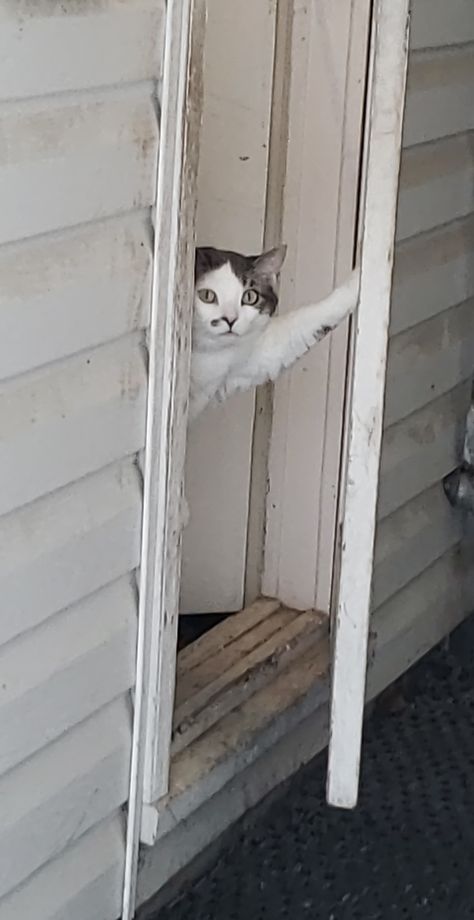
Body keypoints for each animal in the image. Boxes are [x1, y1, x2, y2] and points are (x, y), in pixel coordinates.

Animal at [181, 244, 360, 528]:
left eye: (250, 297)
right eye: (207, 296)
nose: (230, 319)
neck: (207, 358)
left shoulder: (246, 361)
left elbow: (298, 328)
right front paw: (179, 507)